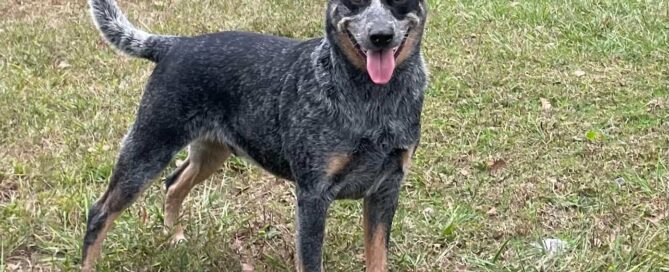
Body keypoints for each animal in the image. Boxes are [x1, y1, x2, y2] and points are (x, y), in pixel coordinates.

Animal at [83, 0, 428, 270]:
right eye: (355, 1)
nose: (380, 36)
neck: (373, 102)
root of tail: (174, 44)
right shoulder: (313, 196)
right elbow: (310, 260)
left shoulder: (386, 188)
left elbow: (378, 258)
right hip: (149, 146)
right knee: (100, 211)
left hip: (211, 151)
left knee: (174, 183)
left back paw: (175, 236)